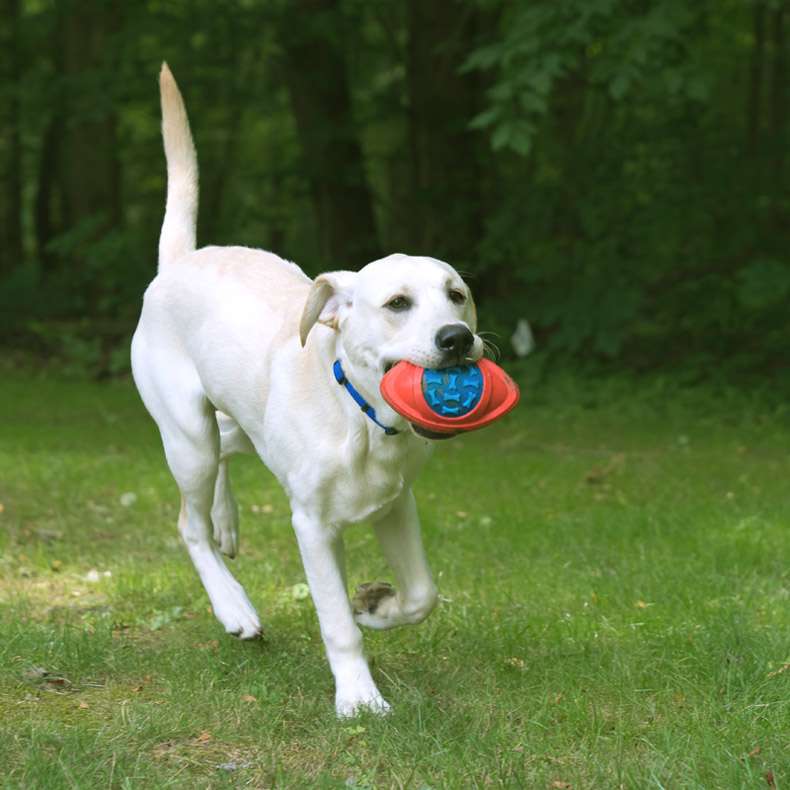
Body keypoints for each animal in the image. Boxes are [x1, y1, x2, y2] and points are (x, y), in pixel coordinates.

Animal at [131, 63, 482, 716]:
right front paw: (359, 698)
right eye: (398, 303)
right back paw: (233, 604)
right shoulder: (313, 528)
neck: (364, 422)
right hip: (186, 435)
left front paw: (377, 605)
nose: (457, 338)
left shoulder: (396, 504)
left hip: (239, 427)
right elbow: (336, 623)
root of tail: (178, 263)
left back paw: (227, 521)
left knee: (225, 455)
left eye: (457, 295)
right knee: (189, 522)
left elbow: (423, 594)